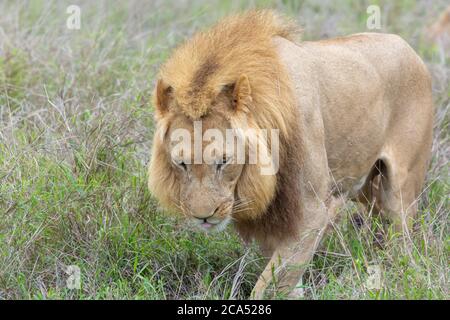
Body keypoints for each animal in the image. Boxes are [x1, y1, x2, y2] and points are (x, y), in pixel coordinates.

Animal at [148, 10, 432, 300]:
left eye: (224, 161)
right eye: (181, 163)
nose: (203, 216)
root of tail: (405, 45)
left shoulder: (313, 210)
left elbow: (268, 285)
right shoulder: (276, 219)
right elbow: (287, 278)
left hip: (402, 188)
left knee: (402, 243)